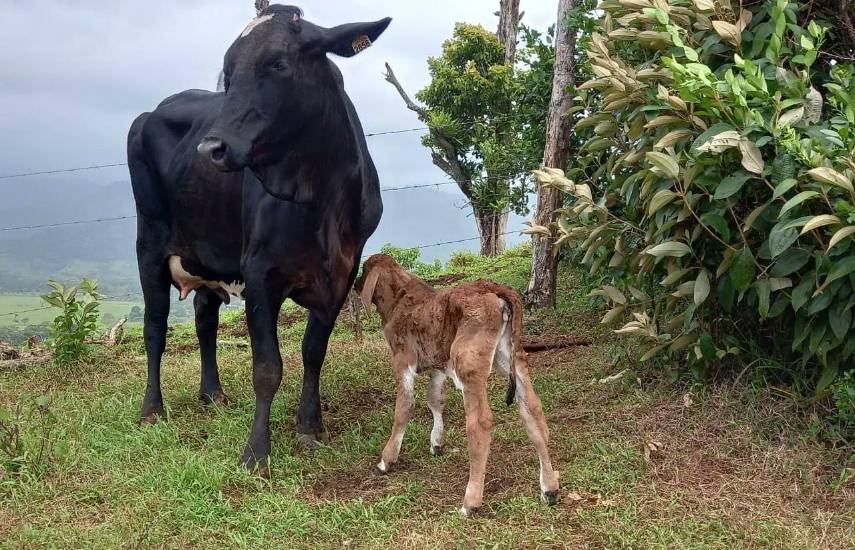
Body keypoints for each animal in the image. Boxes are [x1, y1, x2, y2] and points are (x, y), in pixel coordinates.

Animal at [127, 4, 391, 474]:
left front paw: (309, 426)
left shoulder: (342, 273)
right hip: (149, 246)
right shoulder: (260, 273)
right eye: (229, 75)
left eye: (278, 64)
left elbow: (313, 351)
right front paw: (256, 452)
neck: (321, 198)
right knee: (154, 327)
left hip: (207, 251)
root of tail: (150, 113)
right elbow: (268, 367)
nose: (210, 149)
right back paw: (152, 409)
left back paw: (212, 393)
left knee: (204, 318)